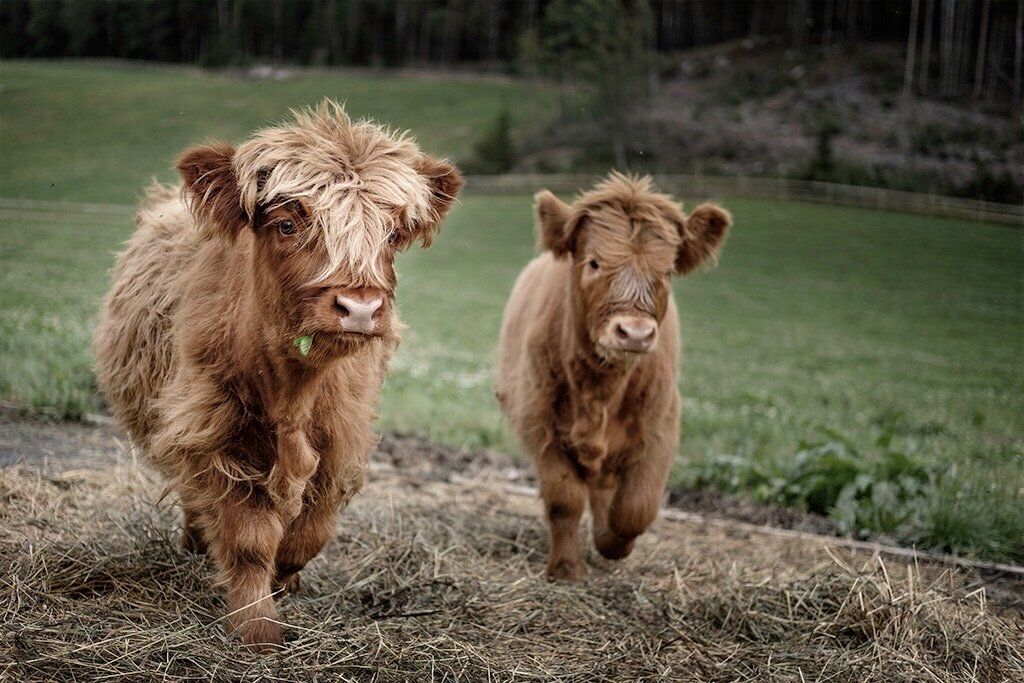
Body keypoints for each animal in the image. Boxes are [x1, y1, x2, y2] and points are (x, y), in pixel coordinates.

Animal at [94, 101, 463, 647]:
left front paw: (285, 581)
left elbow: (307, 534)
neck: (293, 389)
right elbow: (249, 539)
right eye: (288, 224)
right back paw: (194, 543)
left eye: (392, 233)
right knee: (193, 498)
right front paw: (257, 627)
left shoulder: (342, 440)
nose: (359, 307)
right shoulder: (211, 431)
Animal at [496, 172, 730, 580]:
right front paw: (567, 569)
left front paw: (612, 543)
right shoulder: (539, 425)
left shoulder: (660, 427)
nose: (634, 333)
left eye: (666, 271)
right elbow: (564, 500)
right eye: (593, 262)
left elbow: (637, 507)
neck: (600, 389)